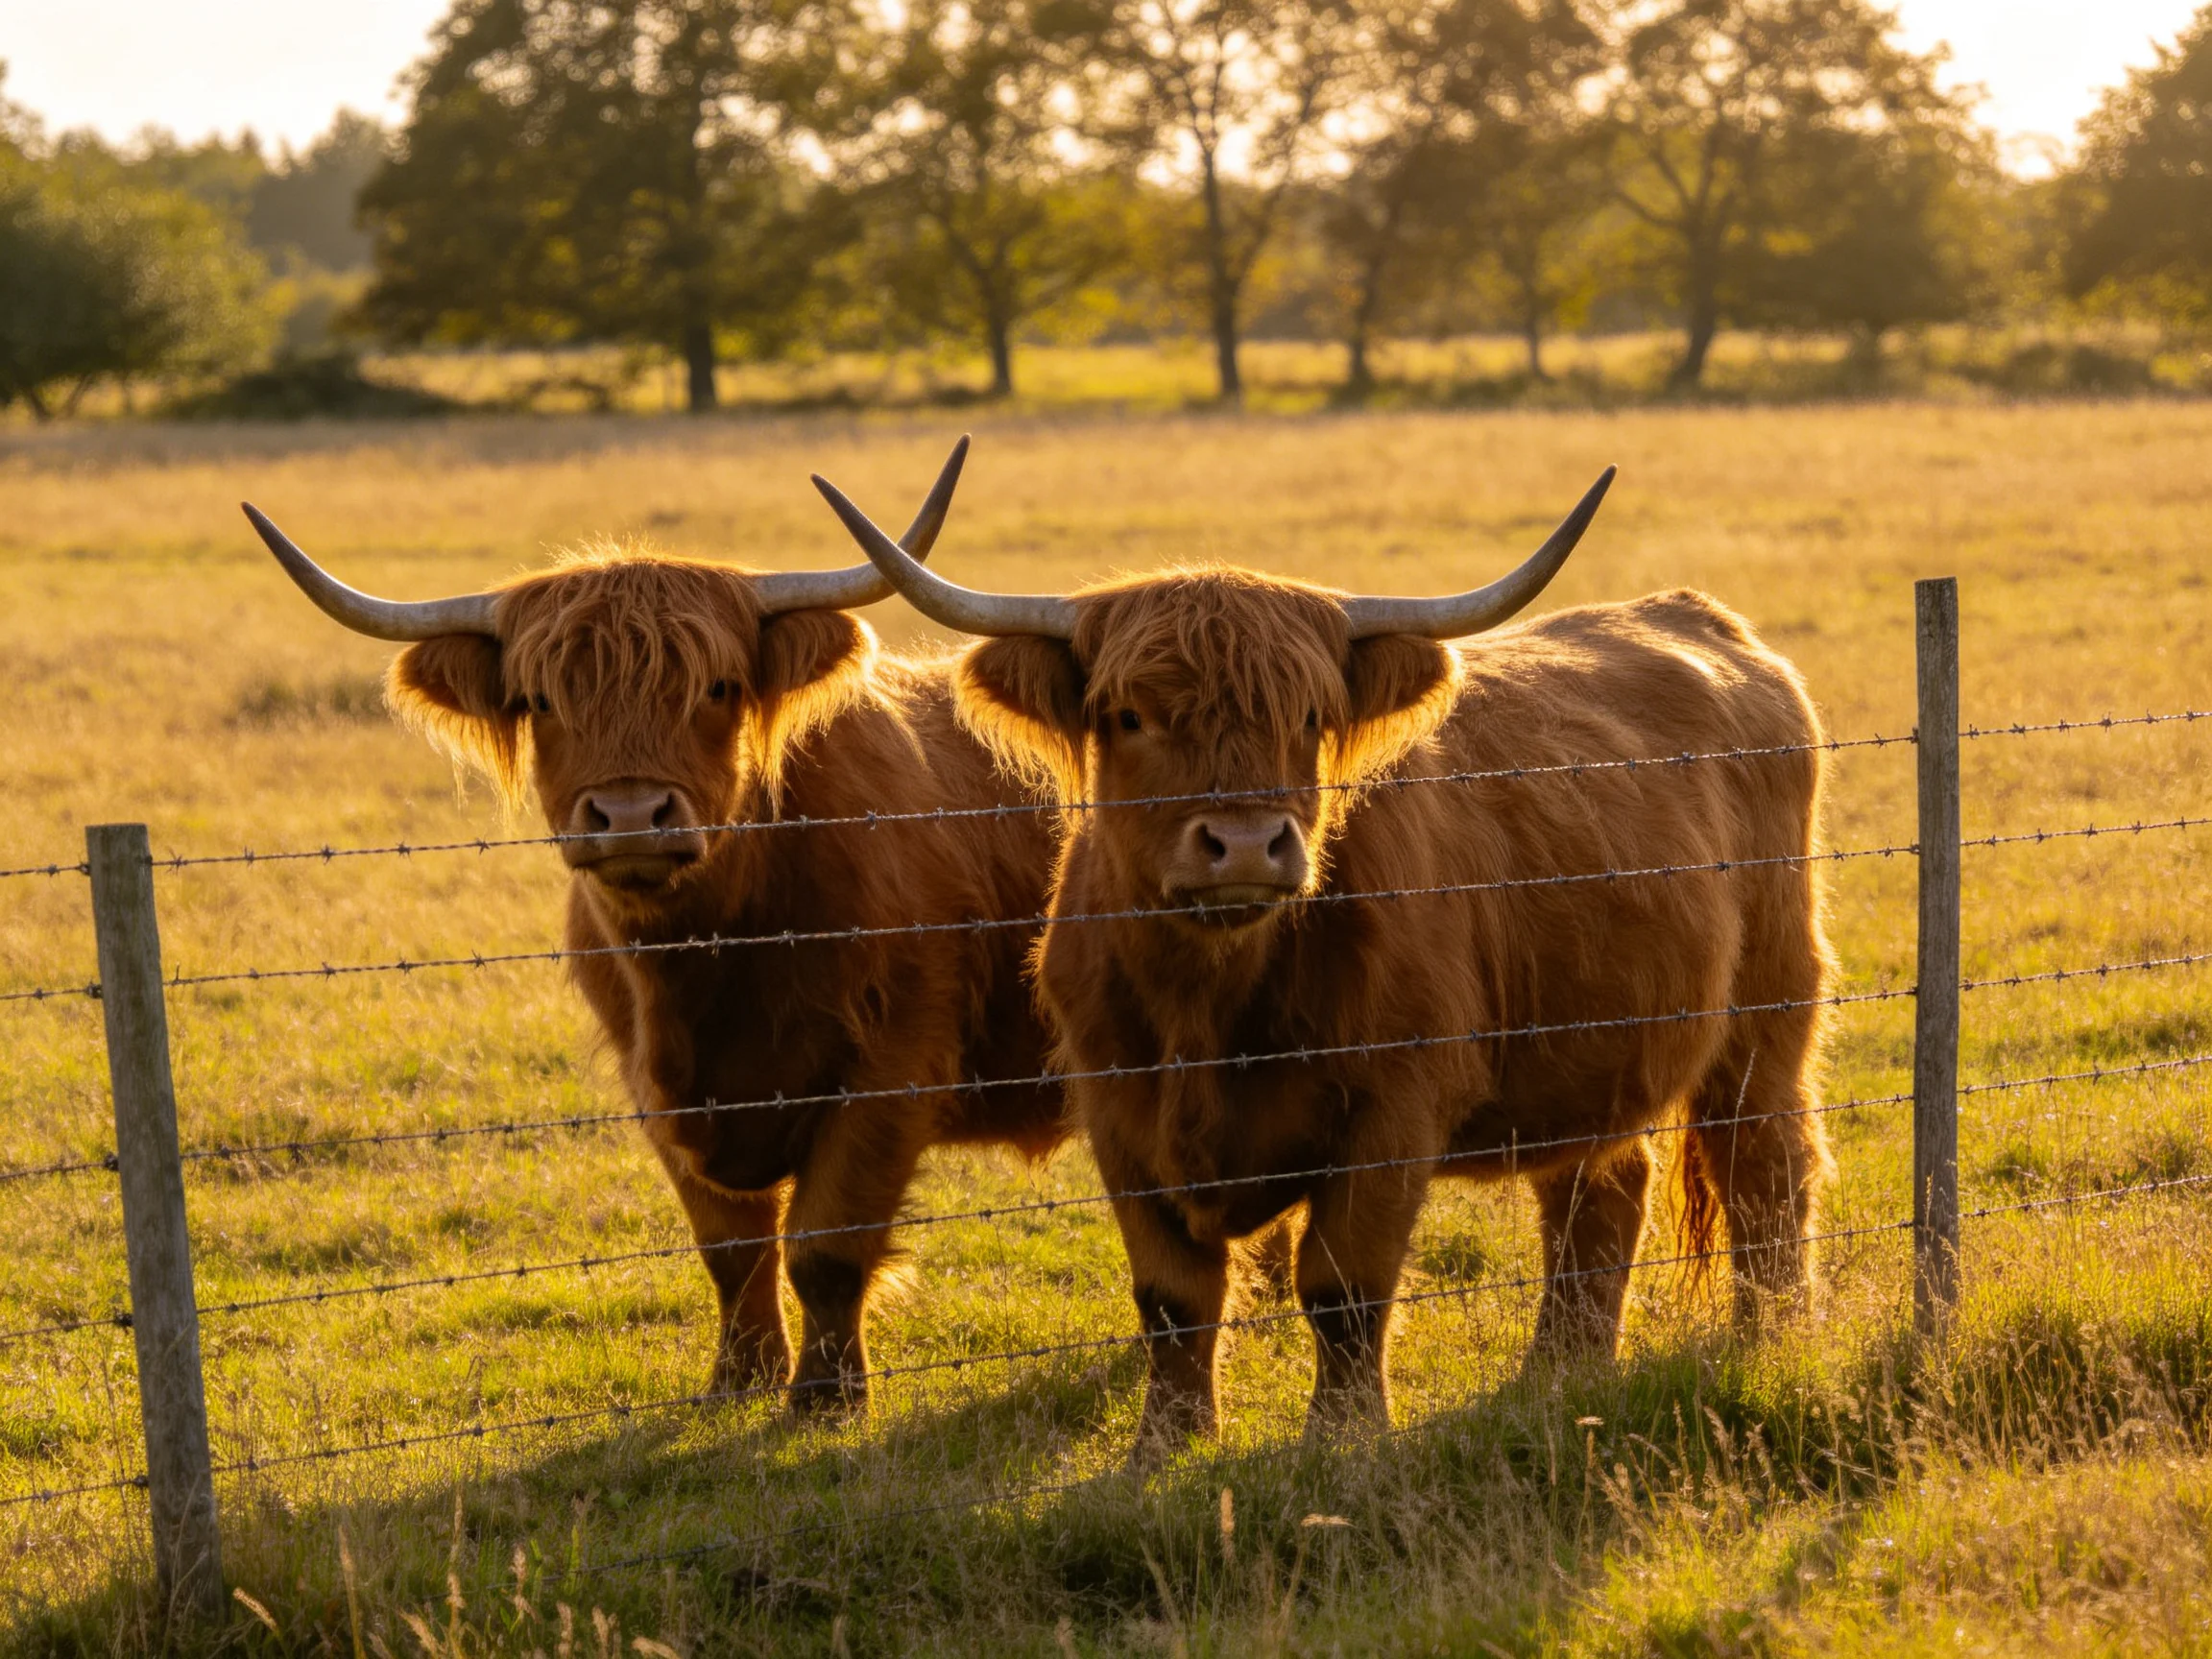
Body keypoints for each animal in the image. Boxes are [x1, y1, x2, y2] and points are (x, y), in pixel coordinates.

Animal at [244, 440, 1067, 1413]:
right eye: (541, 700)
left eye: (715, 687)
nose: (632, 816)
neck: (712, 963)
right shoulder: (651, 1085)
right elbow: (732, 1250)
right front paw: (738, 1381)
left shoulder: (895, 1063)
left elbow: (826, 1245)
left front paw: (825, 1396)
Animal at [810, 464, 1836, 1457]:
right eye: (1131, 715)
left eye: (1308, 716)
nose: (1246, 844)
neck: (1209, 1007)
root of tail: (1696, 619)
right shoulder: (1118, 1113)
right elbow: (1172, 1301)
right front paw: (1163, 1446)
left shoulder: (1395, 1107)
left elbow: (1344, 1287)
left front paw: (1342, 1435)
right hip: (1592, 1047)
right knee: (1601, 1189)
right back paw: (1561, 1371)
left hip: (1767, 1010)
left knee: (1765, 1168)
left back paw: (1773, 1338)